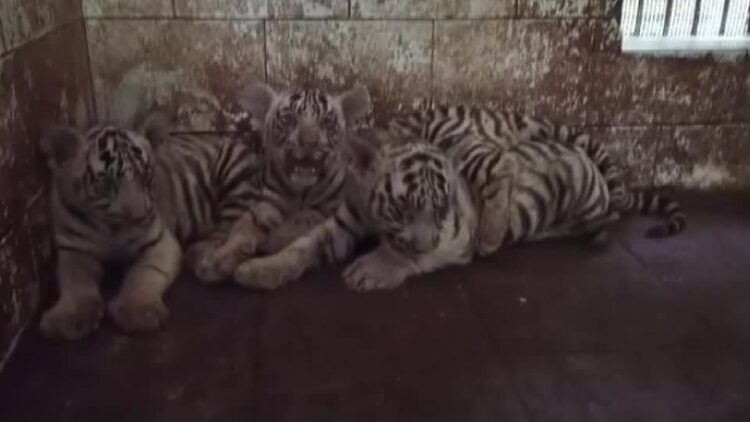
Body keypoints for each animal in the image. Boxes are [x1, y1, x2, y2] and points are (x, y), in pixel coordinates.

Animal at [38, 115, 262, 340]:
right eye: (107, 184)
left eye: (146, 176)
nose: (141, 218)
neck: (110, 230)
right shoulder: (74, 249)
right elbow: (75, 280)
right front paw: (70, 315)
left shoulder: (160, 241)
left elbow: (145, 272)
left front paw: (137, 310)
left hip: (239, 182)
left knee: (230, 227)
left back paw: (205, 258)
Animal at [192, 82, 373, 282]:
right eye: (290, 119)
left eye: (326, 121)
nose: (310, 143)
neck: (301, 192)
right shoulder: (266, 204)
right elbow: (243, 227)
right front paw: (216, 261)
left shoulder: (331, 207)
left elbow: (303, 218)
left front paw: (271, 241)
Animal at [232, 127, 626, 292]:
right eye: (400, 209)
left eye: (440, 212)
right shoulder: (345, 221)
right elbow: (305, 245)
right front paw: (261, 269)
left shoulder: (454, 237)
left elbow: (412, 254)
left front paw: (373, 268)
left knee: (508, 166)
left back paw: (494, 233)